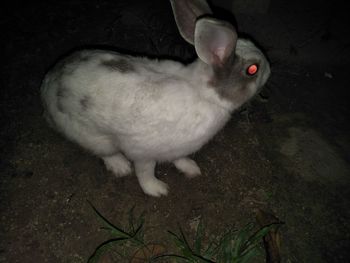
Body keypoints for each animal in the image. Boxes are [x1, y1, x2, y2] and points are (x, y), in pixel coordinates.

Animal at [41, 0, 270, 197]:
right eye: (252, 70)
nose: (269, 69)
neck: (203, 92)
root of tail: (49, 85)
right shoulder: (144, 153)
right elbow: (145, 172)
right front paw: (157, 190)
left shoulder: (179, 148)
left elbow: (179, 158)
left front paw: (191, 169)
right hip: (94, 137)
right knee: (105, 152)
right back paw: (120, 166)